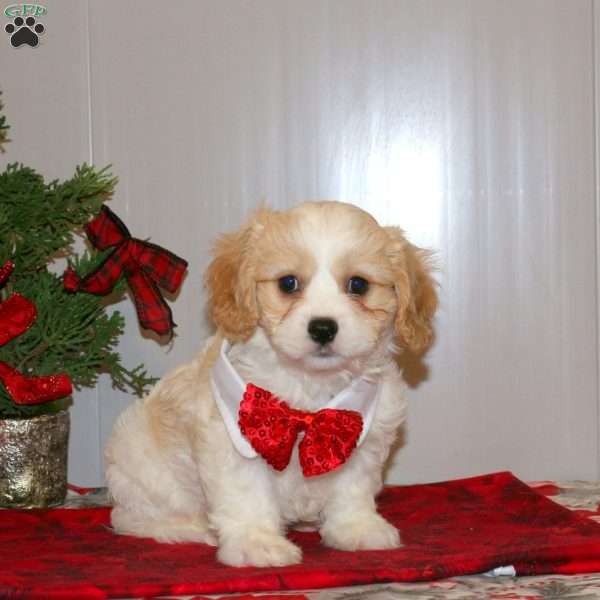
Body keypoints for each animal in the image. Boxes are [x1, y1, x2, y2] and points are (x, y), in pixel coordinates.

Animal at [105, 202, 438, 568]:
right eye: (288, 283)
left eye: (358, 284)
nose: (323, 328)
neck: (310, 390)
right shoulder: (234, 441)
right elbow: (247, 495)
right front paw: (257, 543)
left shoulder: (361, 435)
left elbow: (351, 488)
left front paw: (357, 528)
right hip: (139, 467)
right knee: (131, 518)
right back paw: (190, 527)